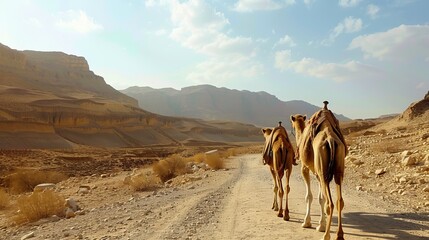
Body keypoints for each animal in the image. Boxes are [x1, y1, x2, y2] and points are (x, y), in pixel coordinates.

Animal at [290, 101, 346, 240]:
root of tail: (330, 139)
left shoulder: (305, 168)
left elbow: (309, 196)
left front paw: (307, 222)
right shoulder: (317, 173)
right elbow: (321, 198)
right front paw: (321, 224)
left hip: (323, 171)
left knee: (330, 203)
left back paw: (326, 236)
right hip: (337, 172)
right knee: (339, 201)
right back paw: (339, 235)